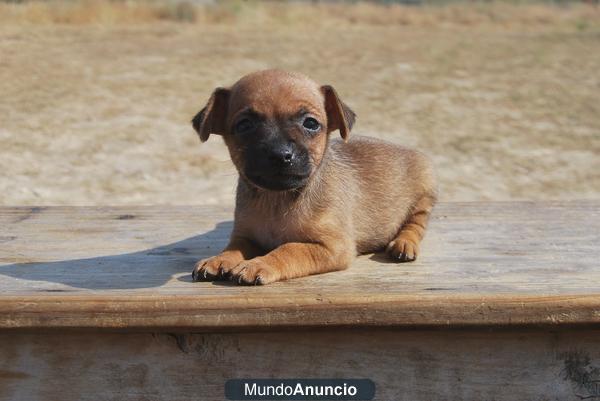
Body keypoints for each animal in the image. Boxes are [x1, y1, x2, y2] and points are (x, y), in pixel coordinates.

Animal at [192, 71, 436, 284]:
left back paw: (404, 244)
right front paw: (219, 259)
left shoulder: (331, 247)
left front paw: (258, 264)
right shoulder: (246, 237)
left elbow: (289, 249)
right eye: (244, 125)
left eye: (310, 123)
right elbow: (234, 248)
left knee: (415, 224)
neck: (276, 200)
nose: (280, 154)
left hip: (423, 198)